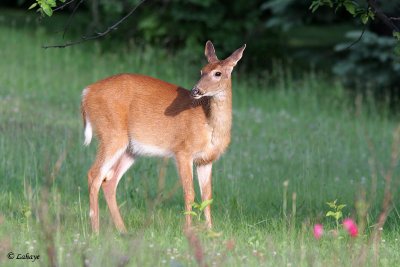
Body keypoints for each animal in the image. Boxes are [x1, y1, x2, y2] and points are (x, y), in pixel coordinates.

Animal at [80, 40, 244, 234]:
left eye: (217, 73)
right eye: (201, 71)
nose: (195, 90)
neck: (210, 124)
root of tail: (86, 93)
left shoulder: (205, 160)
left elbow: (207, 196)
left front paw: (211, 231)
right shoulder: (183, 151)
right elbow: (189, 193)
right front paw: (188, 230)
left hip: (131, 148)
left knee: (109, 181)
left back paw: (122, 230)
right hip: (112, 133)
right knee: (94, 175)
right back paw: (95, 231)